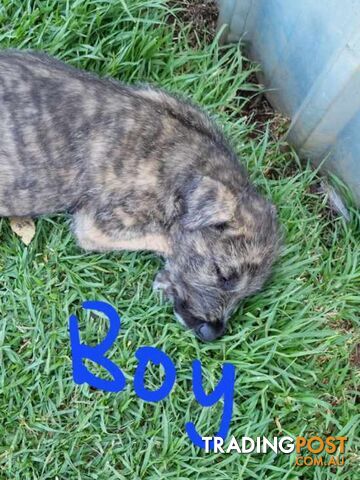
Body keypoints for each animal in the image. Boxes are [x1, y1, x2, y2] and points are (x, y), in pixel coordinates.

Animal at [0, 49, 282, 342]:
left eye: (249, 291)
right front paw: (168, 277)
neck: (192, 169)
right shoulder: (99, 225)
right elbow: (162, 238)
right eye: (221, 274)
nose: (212, 333)